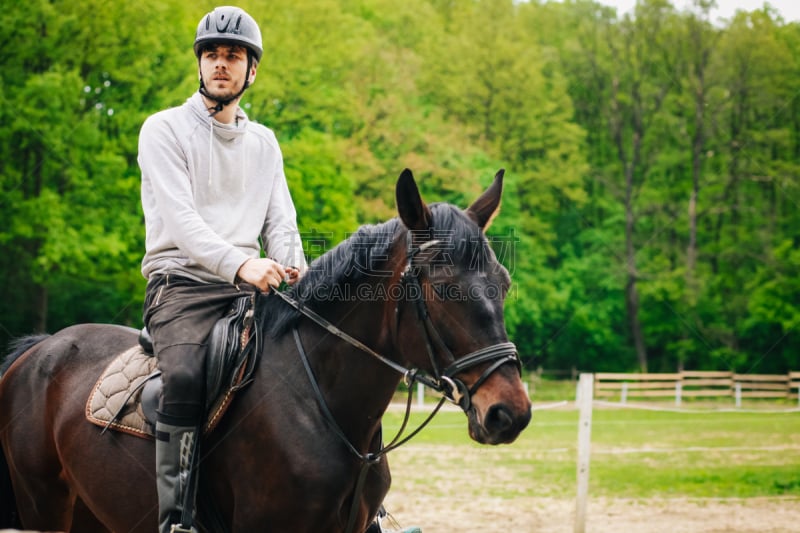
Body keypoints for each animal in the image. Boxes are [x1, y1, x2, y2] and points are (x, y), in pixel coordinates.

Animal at [0, 168, 532, 528]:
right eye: (443, 287)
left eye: (503, 284)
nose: (510, 413)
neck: (320, 404)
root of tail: (39, 350)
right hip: (43, 506)